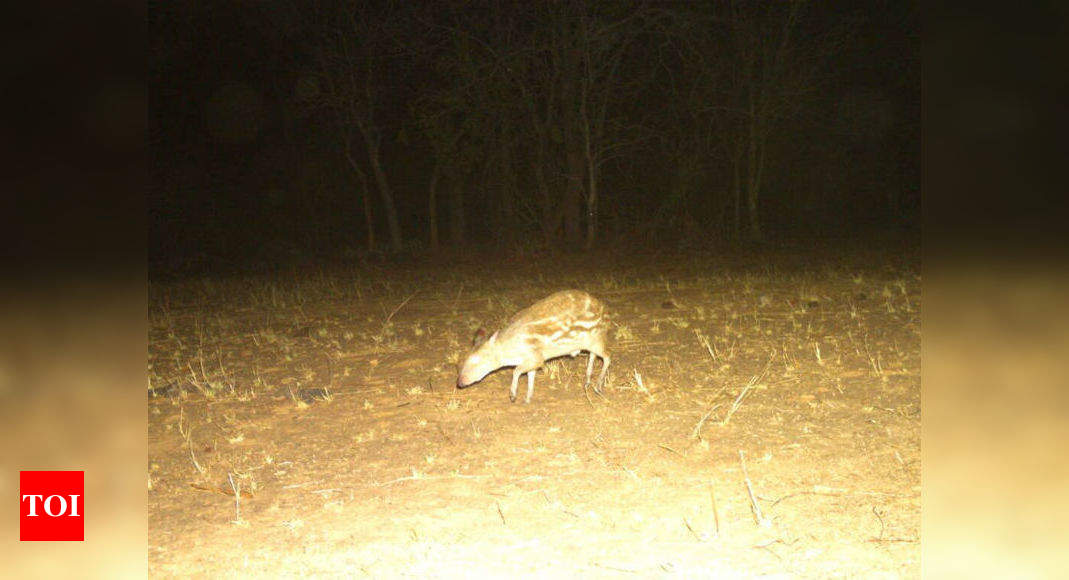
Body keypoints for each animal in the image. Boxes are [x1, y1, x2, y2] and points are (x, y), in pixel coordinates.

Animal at [457, 290, 611, 403]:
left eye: (477, 360)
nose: (459, 383)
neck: (511, 351)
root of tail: (606, 313)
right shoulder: (531, 361)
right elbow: (530, 376)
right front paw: (527, 398)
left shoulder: (536, 357)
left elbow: (516, 371)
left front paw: (513, 395)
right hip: (591, 343)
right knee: (594, 356)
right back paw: (587, 381)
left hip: (595, 339)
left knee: (608, 356)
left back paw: (598, 386)